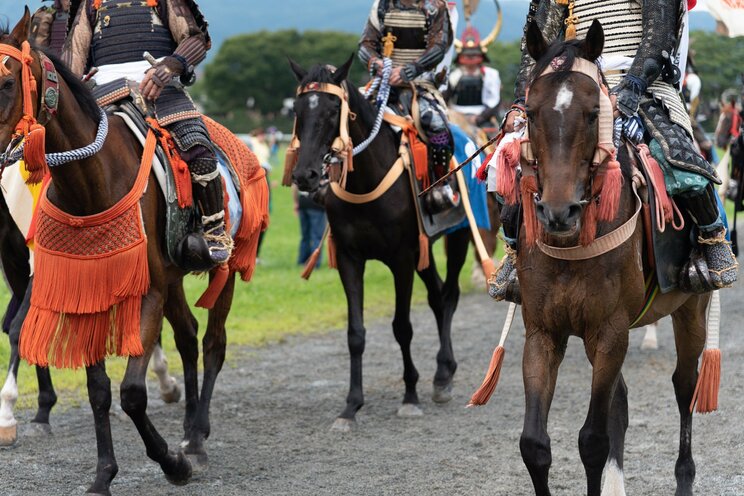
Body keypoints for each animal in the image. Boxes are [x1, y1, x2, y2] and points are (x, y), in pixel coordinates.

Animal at [0, 11, 238, 492]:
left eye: (8, 81)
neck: (93, 185)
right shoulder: (84, 292)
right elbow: (98, 390)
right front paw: (103, 475)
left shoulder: (147, 292)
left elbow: (130, 393)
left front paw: (172, 465)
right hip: (172, 279)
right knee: (187, 337)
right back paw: (189, 432)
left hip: (226, 269)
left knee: (212, 344)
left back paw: (197, 440)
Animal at [290, 57, 470, 430]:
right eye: (298, 110)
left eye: (333, 110)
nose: (305, 175)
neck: (365, 180)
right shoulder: (350, 258)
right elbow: (355, 333)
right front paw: (351, 406)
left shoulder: (401, 259)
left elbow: (402, 327)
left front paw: (410, 396)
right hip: (424, 250)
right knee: (437, 296)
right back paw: (442, 373)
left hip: (459, 235)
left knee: (449, 295)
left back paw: (443, 374)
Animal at [516, 21, 712, 494]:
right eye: (530, 112)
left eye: (594, 113)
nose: (559, 211)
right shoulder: (543, 333)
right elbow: (535, 444)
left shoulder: (609, 331)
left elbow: (592, 440)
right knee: (621, 399)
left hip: (691, 309)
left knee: (685, 386)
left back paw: (684, 478)